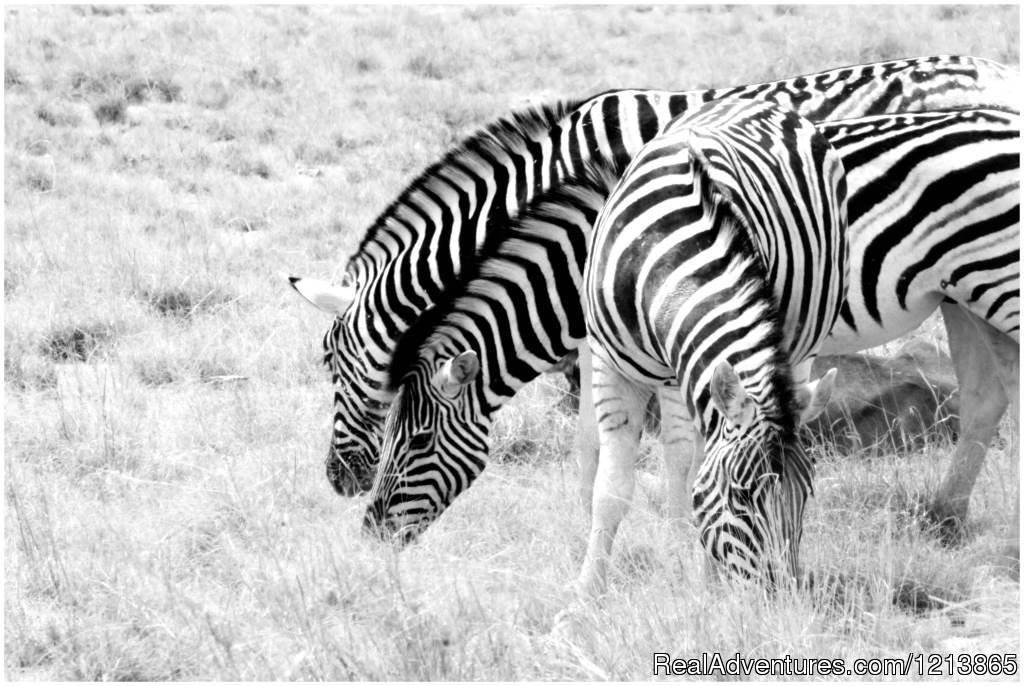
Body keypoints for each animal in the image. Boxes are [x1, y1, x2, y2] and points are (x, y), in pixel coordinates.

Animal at [288, 57, 1015, 509]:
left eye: (329, 362)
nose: (340, 481)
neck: (551, 182)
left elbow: (601, 434)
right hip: (959, 293)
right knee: (987, 398)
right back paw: (942, 517)